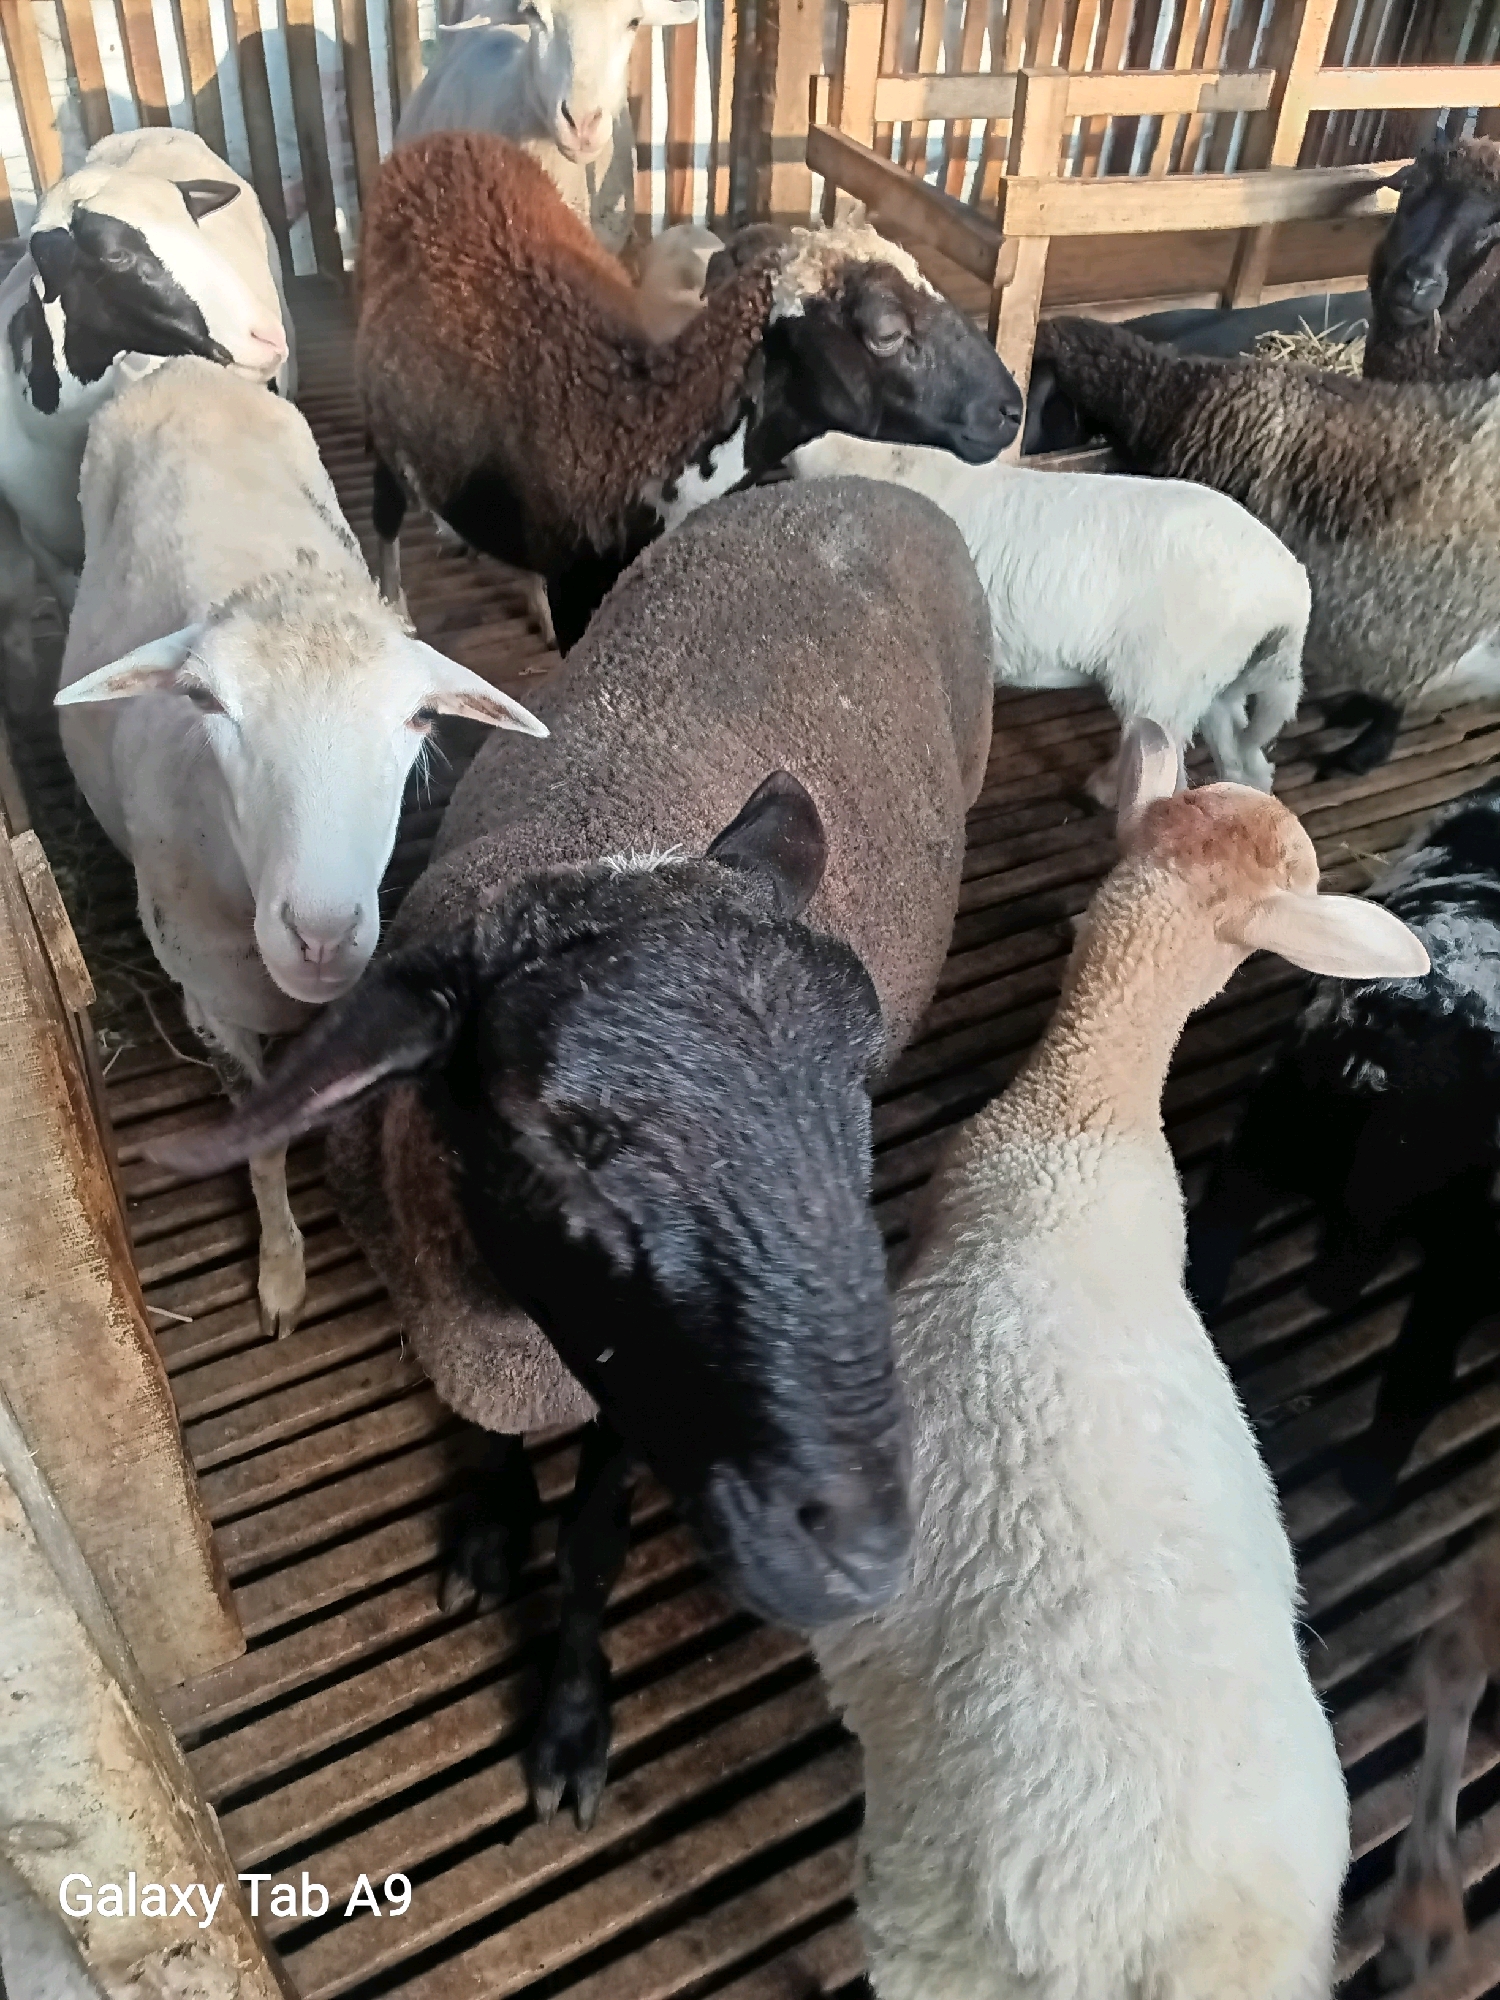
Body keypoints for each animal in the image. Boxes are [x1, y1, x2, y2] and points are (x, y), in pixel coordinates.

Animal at [56, 357, 546, 1340]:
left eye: (423, 716)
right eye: (204, 700)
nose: (319, 933)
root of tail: (168, 362)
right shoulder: (207, 1005)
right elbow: (262, 1139)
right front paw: (282, 1270)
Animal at [144, 475, 996, 1832]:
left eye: (854, 1091)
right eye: (561, 1133)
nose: (867, 1554)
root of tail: (858, 482)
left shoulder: (633, 1404)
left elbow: (591, 1547)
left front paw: (570, 1720)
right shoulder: (458, 1318)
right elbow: (486, 1440)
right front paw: (491, 1527)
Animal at [356, 133, 1022, 654]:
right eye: (886, 333)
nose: (1009, 409)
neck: (640, 425)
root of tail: (439, 142)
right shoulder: (579, 591)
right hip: (381, 421)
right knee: (385, 519)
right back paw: (398, 607)